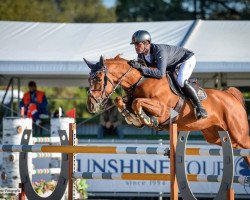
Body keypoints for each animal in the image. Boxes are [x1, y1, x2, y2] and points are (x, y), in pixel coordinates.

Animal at [84, 54, 250, 166]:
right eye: (89, 79)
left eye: (98, 79)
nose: (91, 105)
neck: (140, 80)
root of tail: (231, 96)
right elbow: (122, 101)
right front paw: (134, 118)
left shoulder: (163, 110)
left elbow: (138, 102)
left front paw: (146, 118)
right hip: (216, 135)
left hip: (237, 133)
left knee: (246, 146)